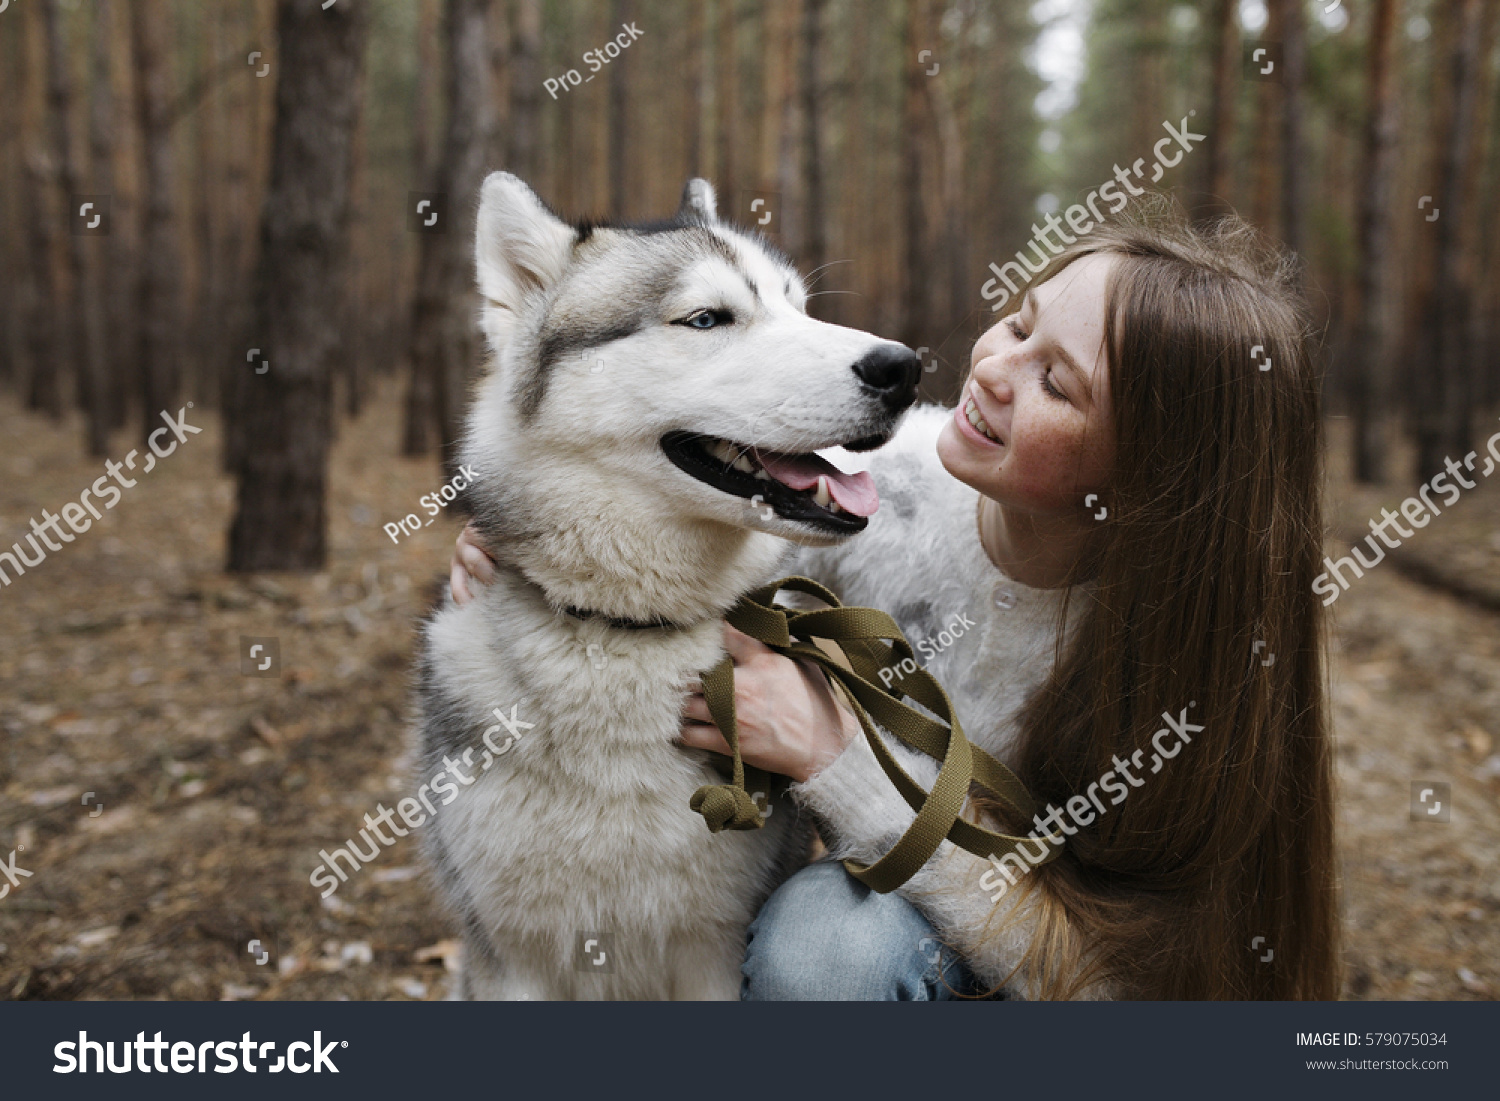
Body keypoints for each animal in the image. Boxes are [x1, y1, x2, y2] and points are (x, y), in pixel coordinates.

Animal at [417, 170, 918, 1002]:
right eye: (707, 318)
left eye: (798, 305)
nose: (905, 367)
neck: (625, 631)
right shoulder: (512, 958)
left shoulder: (712, 946)